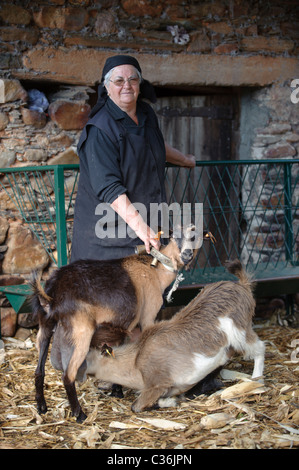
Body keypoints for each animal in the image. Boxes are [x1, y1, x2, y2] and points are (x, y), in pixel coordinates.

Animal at [31, 224, 202, 422]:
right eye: (174, 235)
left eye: (196, 236)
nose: (187, 254)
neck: (155, 271)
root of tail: (51, 294)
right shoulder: (147, 318)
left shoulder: (127, 327)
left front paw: (117, 390)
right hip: (80, 331)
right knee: (68, 374)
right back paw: (79, 414)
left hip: (45, 326)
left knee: (39, 370)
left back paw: (42, 407)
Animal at [85, 258, 266, 414]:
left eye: (88, 357)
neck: (136, 359)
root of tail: (242, 286)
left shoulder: (158, 383)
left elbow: (136, 406)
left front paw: (169, 402)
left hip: (240, 331)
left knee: (259, 347)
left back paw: (257, 379)